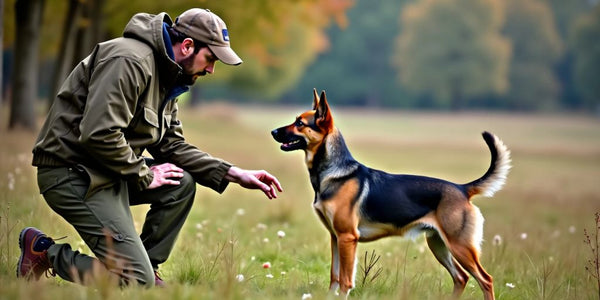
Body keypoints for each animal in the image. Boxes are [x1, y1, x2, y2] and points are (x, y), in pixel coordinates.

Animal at [272, 89, 510, 300]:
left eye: (300, 123)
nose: (273, 132)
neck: (333, 172)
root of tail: (462, 189)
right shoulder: (335, 237)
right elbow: (334, 277)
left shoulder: (347, 238)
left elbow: (345, 280)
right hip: (438, 244)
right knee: (461, 278)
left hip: (460, 246)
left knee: (485, 279)